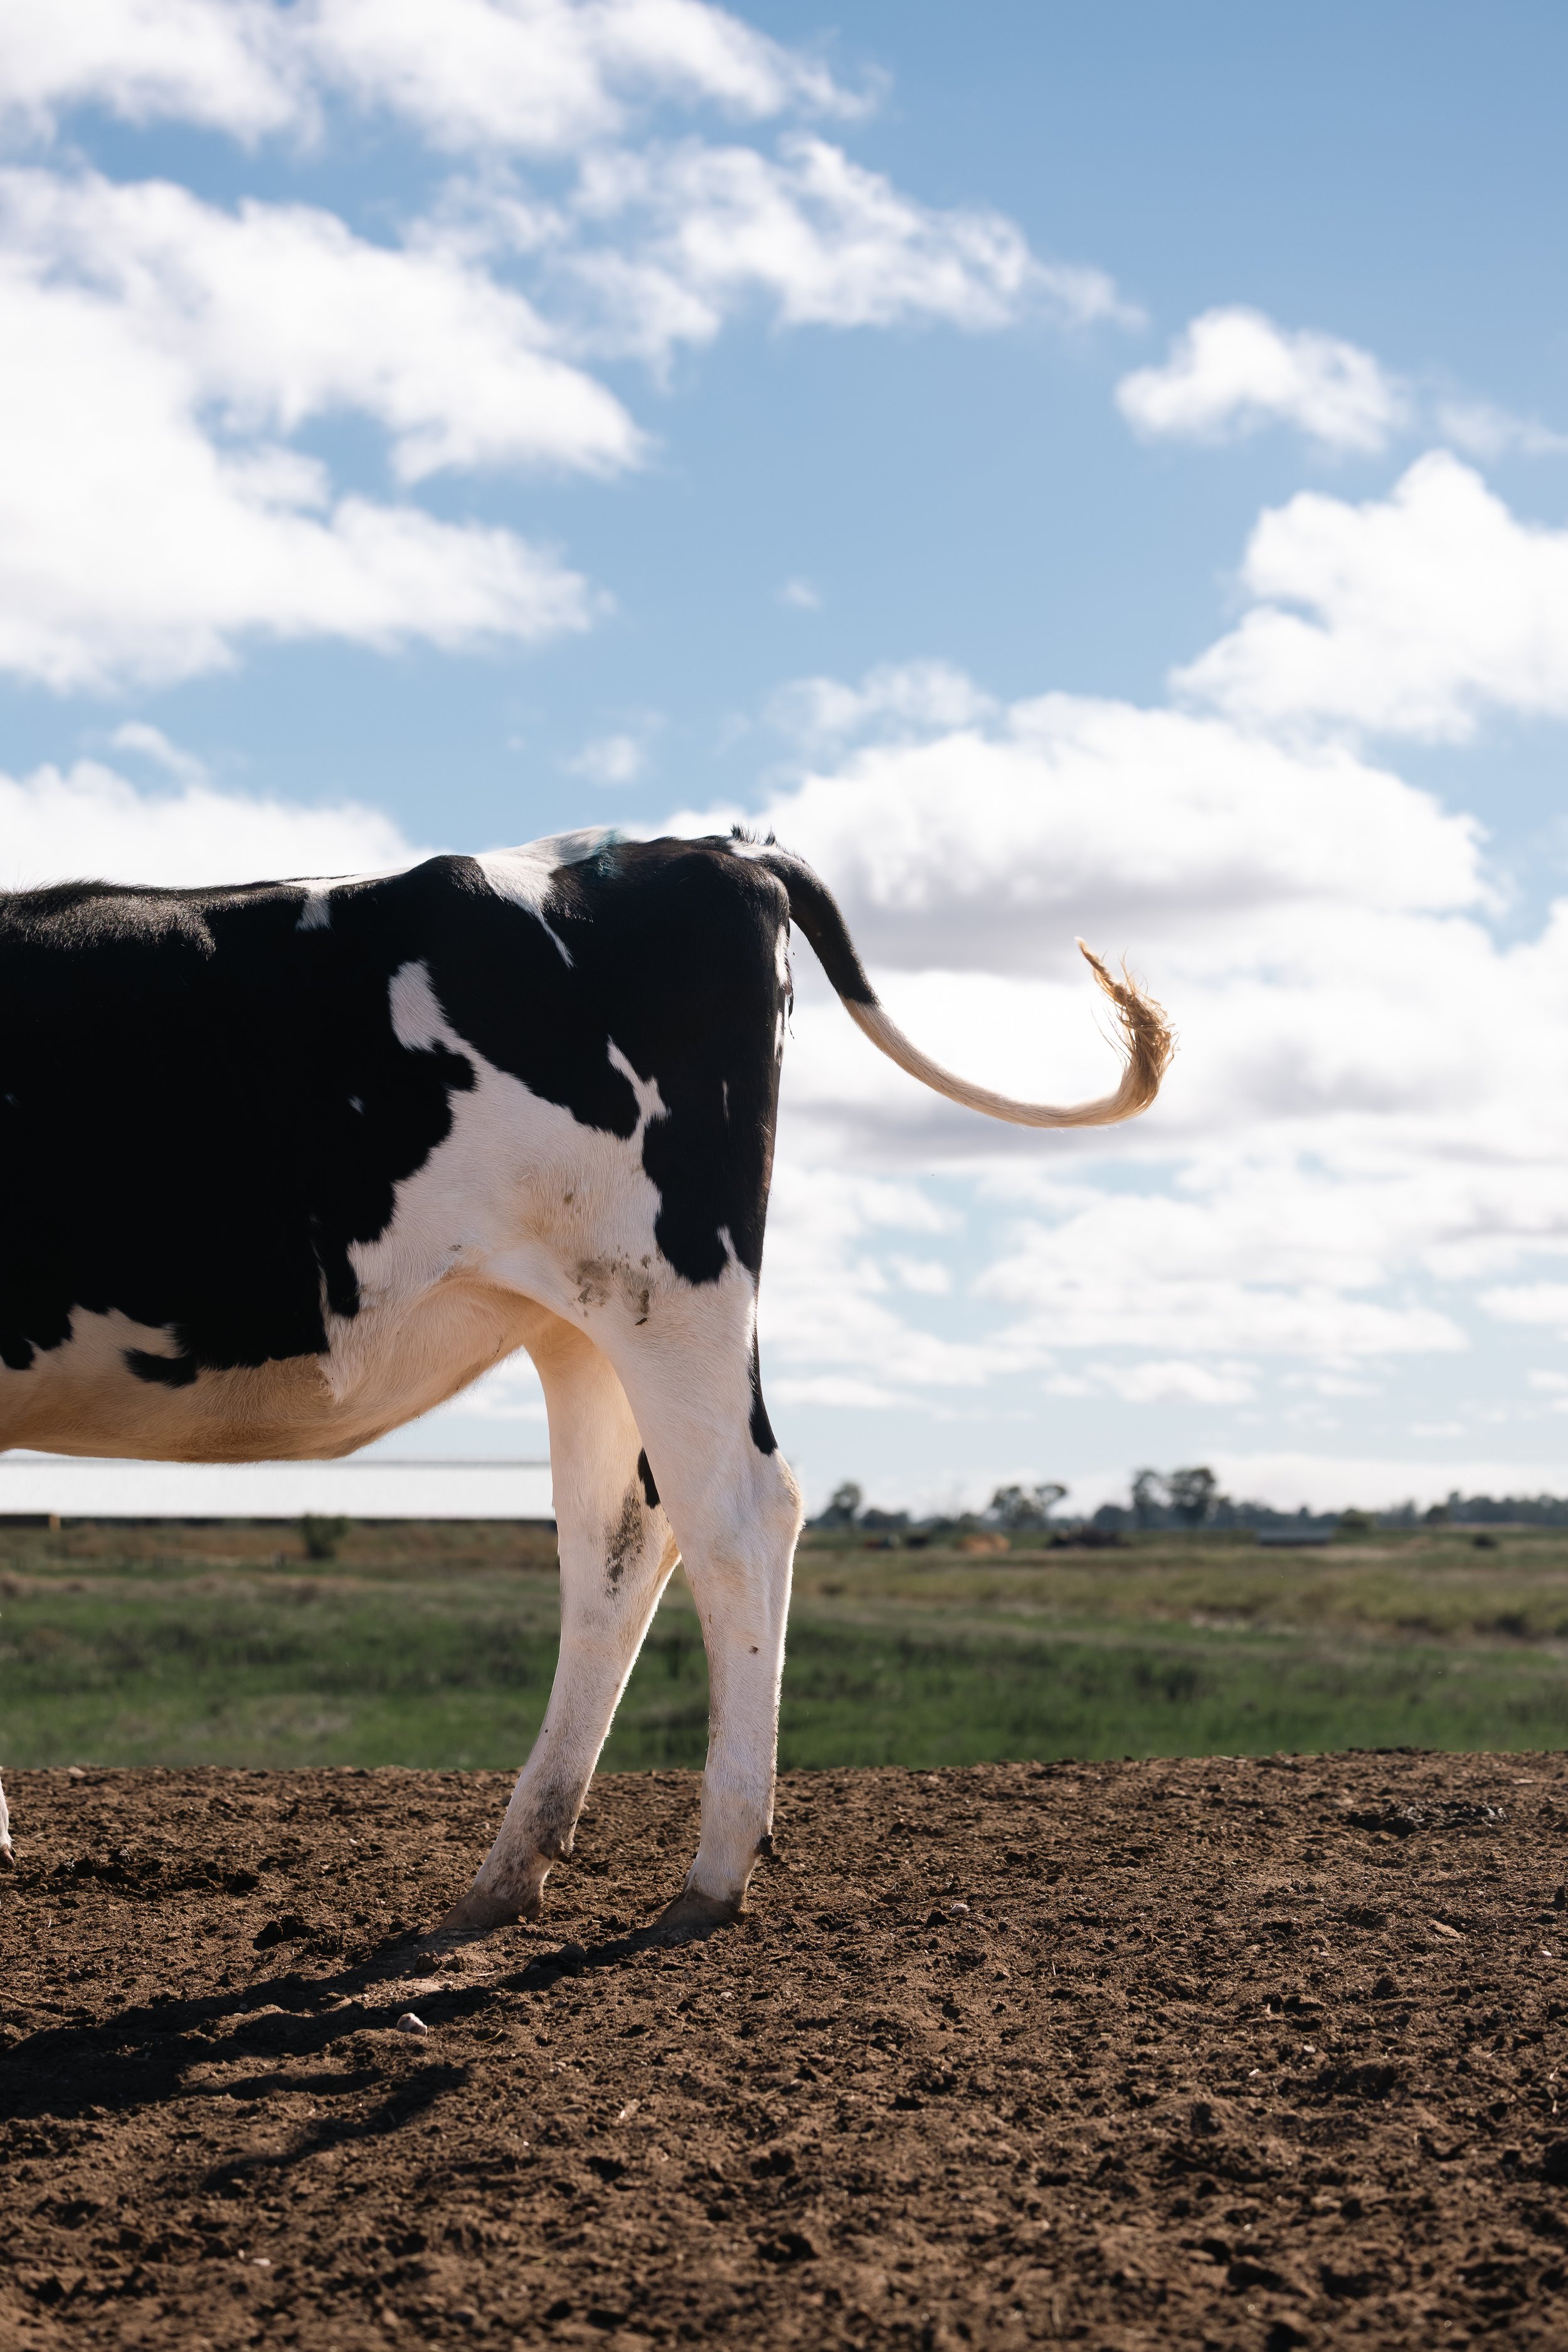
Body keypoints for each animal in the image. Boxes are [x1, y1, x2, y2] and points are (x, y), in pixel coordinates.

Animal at [0, 829, 1170, 1936]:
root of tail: (708, 846)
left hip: (670, 1284)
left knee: (740, 1514)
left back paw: (713, 1872)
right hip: (585, 1323)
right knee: (622, 1537)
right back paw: (512, 1870)